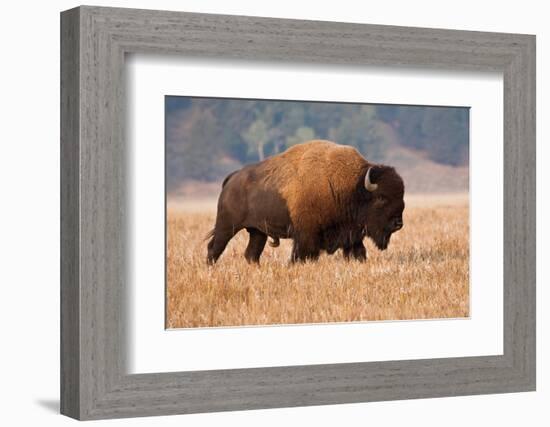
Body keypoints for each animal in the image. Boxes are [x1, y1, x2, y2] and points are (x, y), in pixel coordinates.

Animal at [207, 140, 406, 264]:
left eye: (401, 196)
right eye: (381, 198)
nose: (398, 223)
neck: (351, 187)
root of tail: (232, 178)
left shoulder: (352, 236)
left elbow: (359, 253)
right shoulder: (306, 236)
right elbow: (301, 256)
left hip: (257, 231)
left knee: (251, 254)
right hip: (227, 226)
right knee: (214, 247)